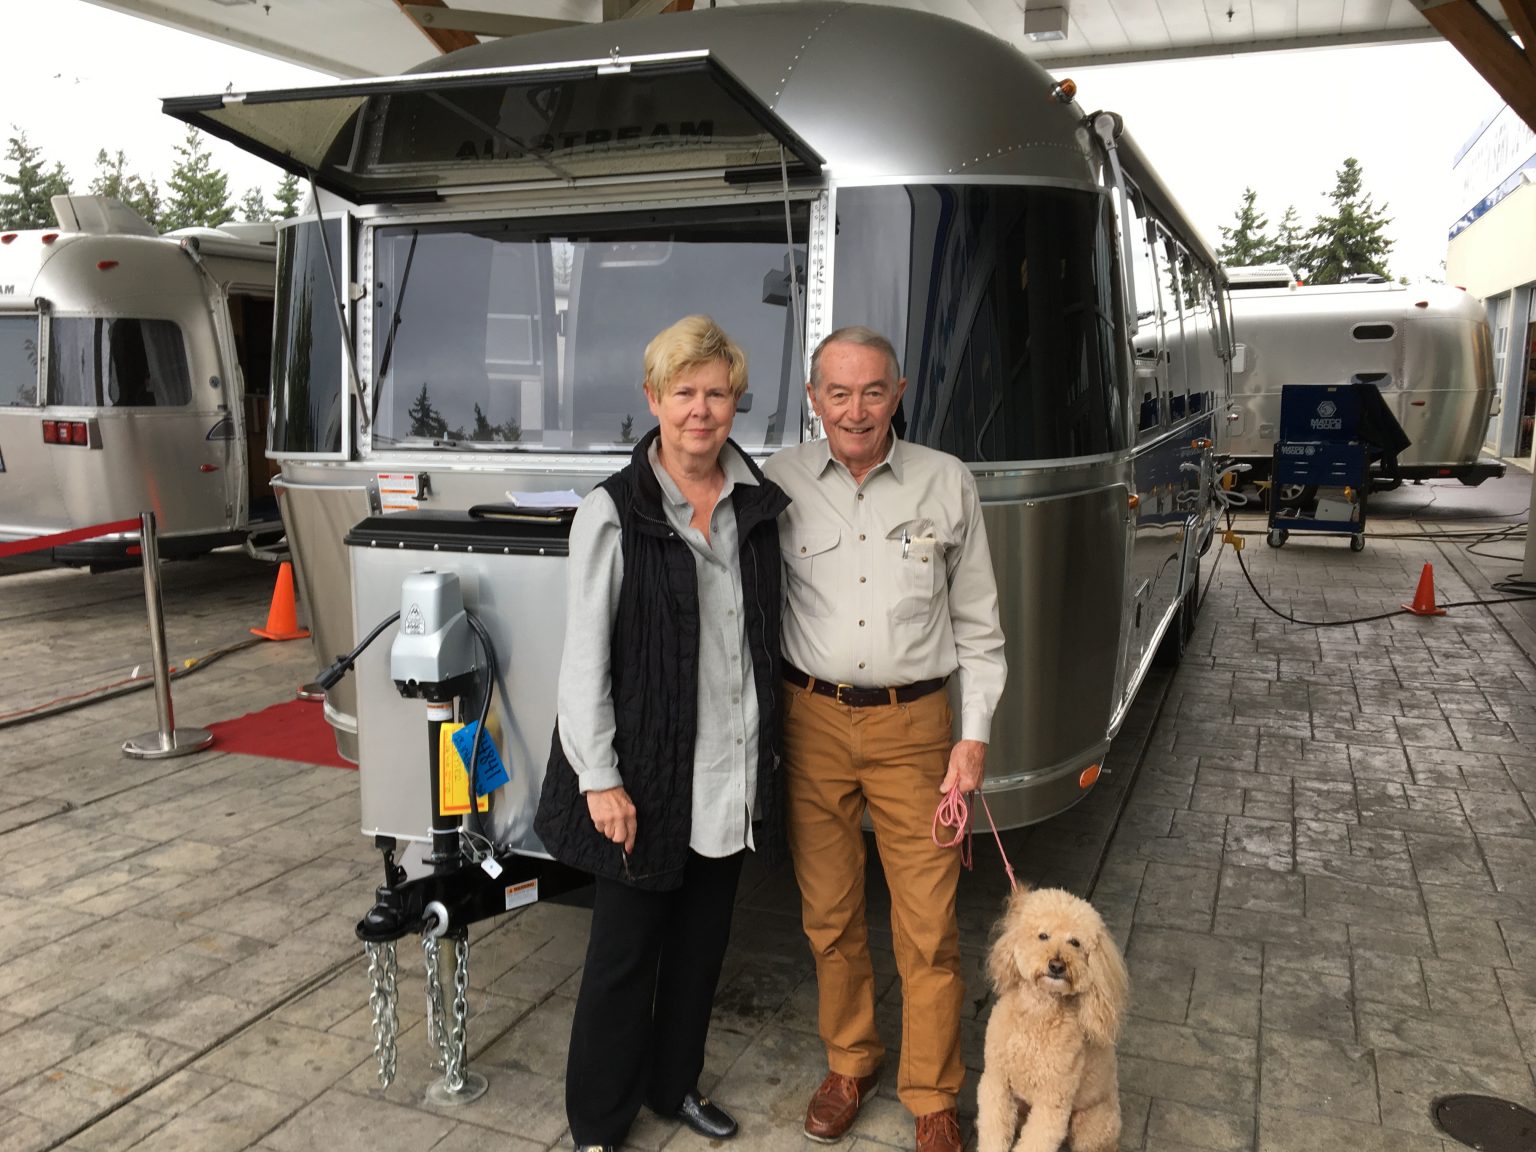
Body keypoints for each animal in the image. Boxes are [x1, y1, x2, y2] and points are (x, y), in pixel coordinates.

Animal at [975, 886, 1129, 1152]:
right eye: (1043, 935)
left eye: (1075, 942)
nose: (1057, 965)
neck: (1038, 1013)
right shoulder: (996, 1082)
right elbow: (994, 1131)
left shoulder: (1052, 1104)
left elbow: (1036, 1140)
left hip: (1092, 1126)